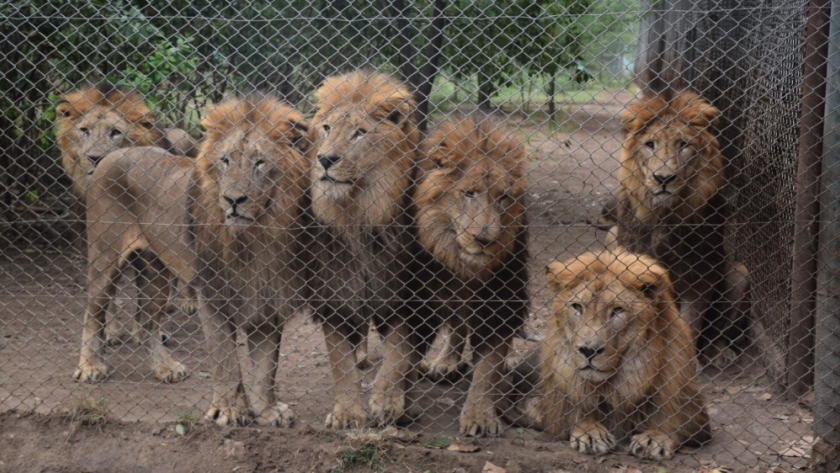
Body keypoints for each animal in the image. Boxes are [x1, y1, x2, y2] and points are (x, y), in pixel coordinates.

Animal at [74, 96, 312, 428]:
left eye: (260, 162)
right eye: (225, 160)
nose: (233, 200)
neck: (257, 237)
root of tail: (113, 154)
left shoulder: (267, 299)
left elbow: (266, 368)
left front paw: (266, 411)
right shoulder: (212, 296)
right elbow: (226, 361)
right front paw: (228, 411)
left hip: (158, 271)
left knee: (148, 320)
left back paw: (165, 367)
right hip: (104, 256)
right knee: (93, 312)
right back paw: (90, 367)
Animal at [308, 70, 424, 428]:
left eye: (359, 133)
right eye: (326, 128)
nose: (325, 159)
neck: (359, 215)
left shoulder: (404, 294)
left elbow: (399, 356)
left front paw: (389, 402)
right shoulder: (336, 290)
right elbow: (339, 363)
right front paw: (347, 413)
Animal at [608, 90, 752, 366]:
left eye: (683, 145)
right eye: (650, 145)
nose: (663, 179)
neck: (666, 216)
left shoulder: (700, 274)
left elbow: (690, 324)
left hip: (740, 272)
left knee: (715, 334)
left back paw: (719, 352)